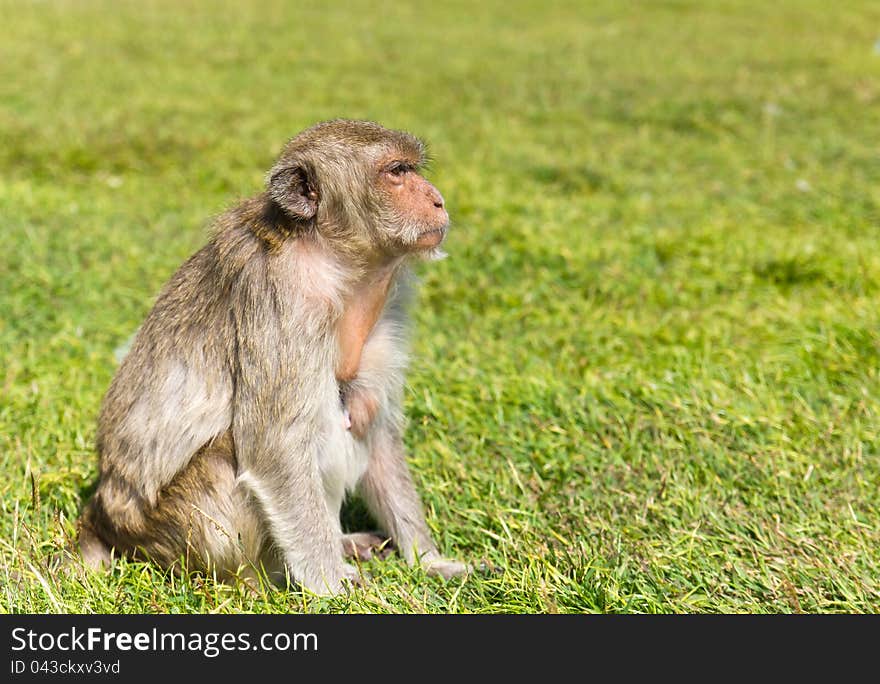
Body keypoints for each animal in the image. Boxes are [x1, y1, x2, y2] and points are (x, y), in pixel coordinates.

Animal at [77, 117, 468, 592]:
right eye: (396, 172)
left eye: (412, 168)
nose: (438, 199)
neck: (330, 257)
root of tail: (106, 522)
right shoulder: (285, 302)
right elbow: (274, 446)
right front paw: (334, 587)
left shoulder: (387, 306)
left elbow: (376, 431)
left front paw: (429, 561)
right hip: (190, 534)